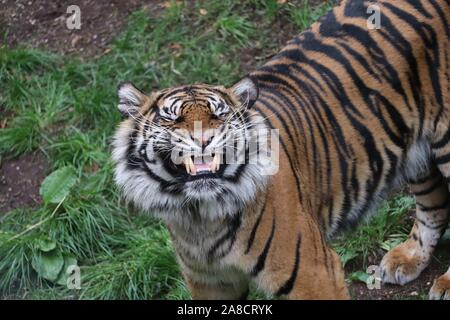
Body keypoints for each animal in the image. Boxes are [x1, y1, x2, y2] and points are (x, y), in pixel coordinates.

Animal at [111, 0, 450, 300]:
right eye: (172, 117)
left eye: (219, 114)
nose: (203, 138)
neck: (201, 217)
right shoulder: (210, 282)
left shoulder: (314, 273)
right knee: (434, 204)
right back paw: (407, 259)